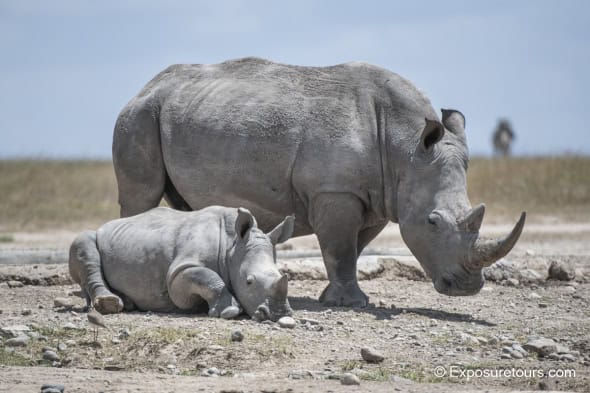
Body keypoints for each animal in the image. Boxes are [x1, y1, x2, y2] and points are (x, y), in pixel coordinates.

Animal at [68, 204, 294, 320]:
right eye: (249, 281)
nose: (279, 314)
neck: (232, 247)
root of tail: (105, 225)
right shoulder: (180, 271)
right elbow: (208, 278)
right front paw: (229, 312)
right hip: (94, 236)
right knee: (84, 241)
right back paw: (110, 304)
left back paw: (128, 303)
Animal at [114, 56, 528, 306]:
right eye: (432, 222)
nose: (467, 289)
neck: (406, 146)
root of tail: (144, 88)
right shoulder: (336, 191)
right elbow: (340, 248)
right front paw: (352, 304)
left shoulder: (379, 196)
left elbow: (354, 249)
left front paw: (338, 298)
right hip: (138, 116)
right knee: (142, 197)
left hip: (183, 114)